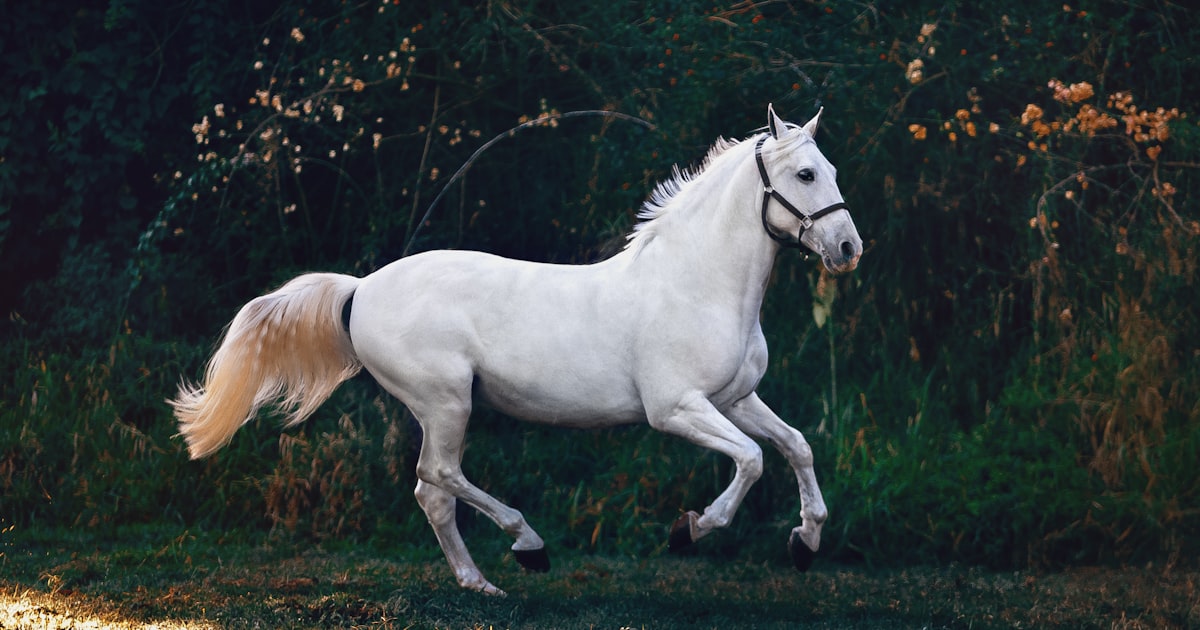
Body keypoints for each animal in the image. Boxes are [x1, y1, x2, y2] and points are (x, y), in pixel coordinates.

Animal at [172, 104, 862, 595]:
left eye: (832, 171)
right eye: (805, 174)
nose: (848, 248)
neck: (697, 283)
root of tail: (361, 288)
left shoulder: (736, 398)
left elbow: (795, 446)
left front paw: (805, 542)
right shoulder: (677, 409)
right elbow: (751, 460)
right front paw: (689, 531)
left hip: (444, 408)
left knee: (432, 493)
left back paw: (480, 583)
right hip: (446, 402)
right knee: (438, 477)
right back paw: (527, 546)